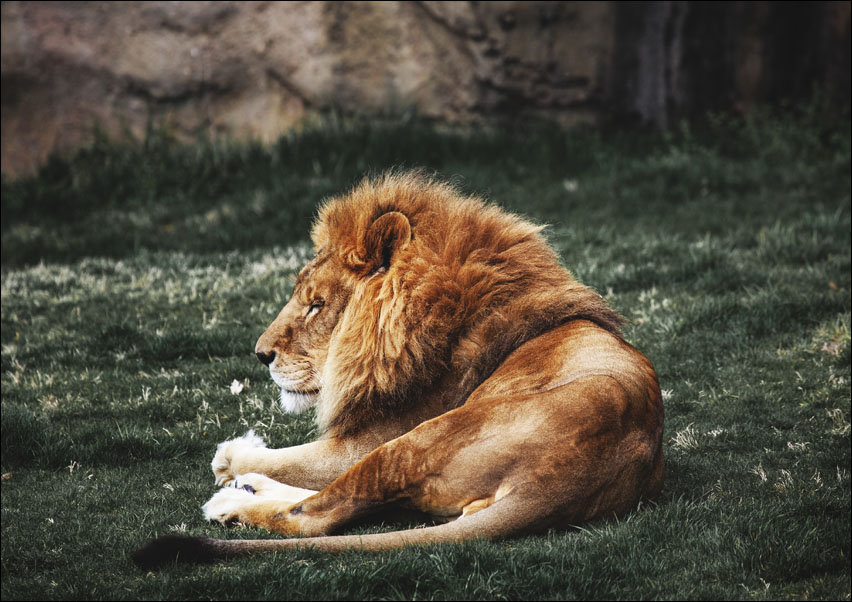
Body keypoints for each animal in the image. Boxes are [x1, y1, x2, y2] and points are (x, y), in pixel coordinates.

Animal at [134, 172, 664, 568]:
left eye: (316, 305)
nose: (260, 354)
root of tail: (560, 482)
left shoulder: (368, 437)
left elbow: (292, 461)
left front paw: (232, 457)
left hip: (414, 440)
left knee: (319, 512)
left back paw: (232, 500)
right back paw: (247, 489)